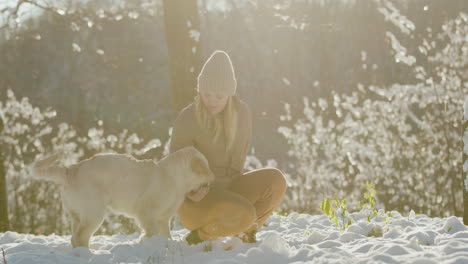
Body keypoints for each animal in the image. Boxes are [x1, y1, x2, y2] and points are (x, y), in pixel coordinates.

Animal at [33, 146, 214, 248]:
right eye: (206, 167)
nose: (214, 177)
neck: (173, 177)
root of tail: (71, 170)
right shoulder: (146, 212)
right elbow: (152, 231)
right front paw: (147, 242)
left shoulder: (163, 218)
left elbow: (165, 234)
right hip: (94, 214)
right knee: (80, 237)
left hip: (77, 216)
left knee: (74, 238)